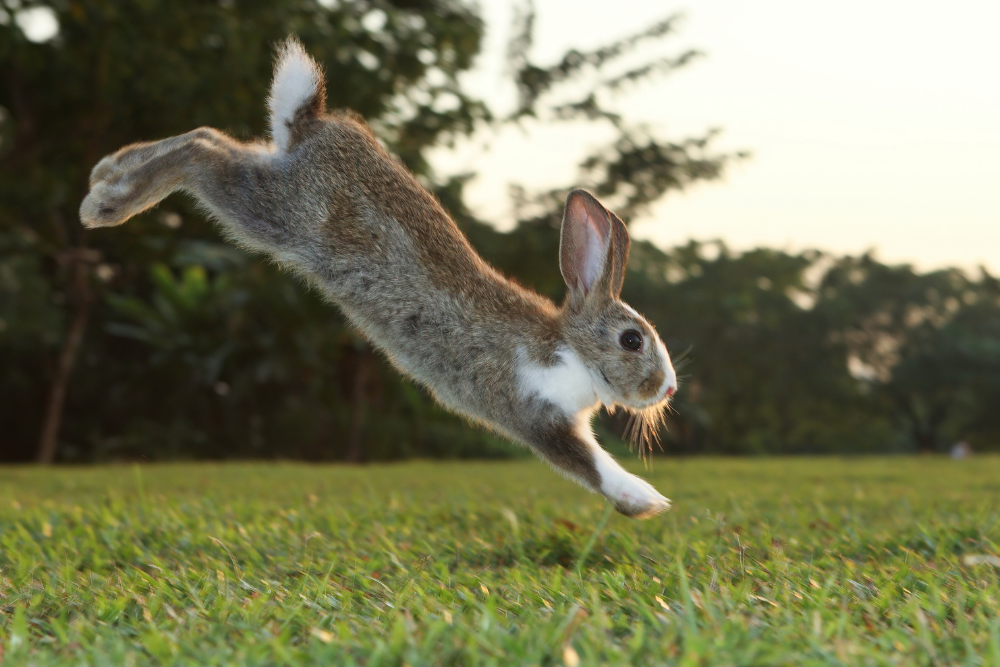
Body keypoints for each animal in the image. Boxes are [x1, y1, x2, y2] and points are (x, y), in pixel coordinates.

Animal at [82, 37, 680, 520]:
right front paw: (647, 501)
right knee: (200, 151)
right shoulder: (535, 414)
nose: (668, 388)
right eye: (632, 340)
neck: (570, 347)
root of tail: (314, 124)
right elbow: (590, 464)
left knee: (212, 137)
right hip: (273, 212)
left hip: (269, 178)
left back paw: (105, 173)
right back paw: (105, 203)